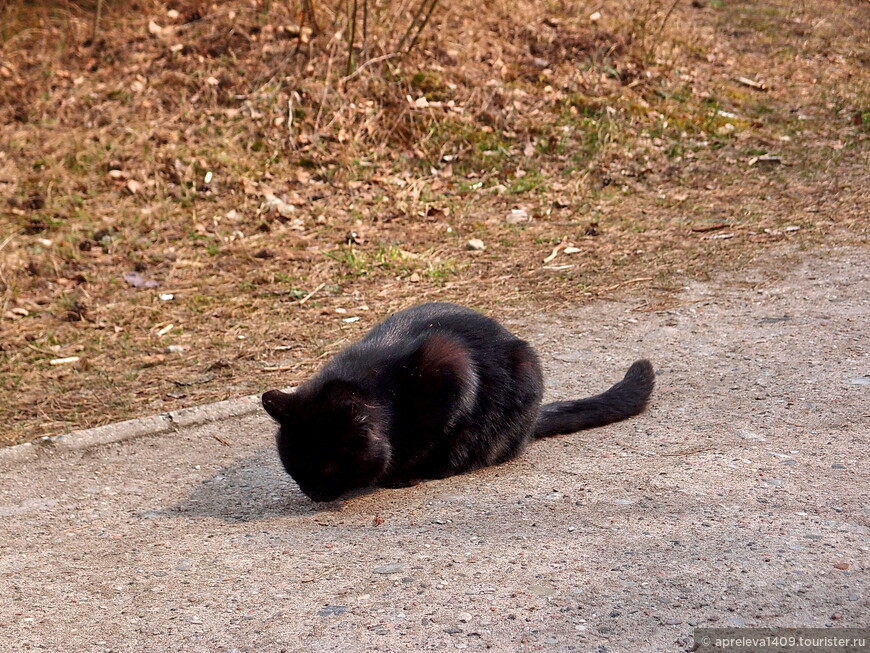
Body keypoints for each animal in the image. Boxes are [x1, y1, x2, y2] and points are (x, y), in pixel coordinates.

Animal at [262, 300, 656, 500]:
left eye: (328, 466)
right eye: (294, 467)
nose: (312, 493)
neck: (389, 395)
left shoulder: (450, 369)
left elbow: (433, 434)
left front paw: (405, 473)